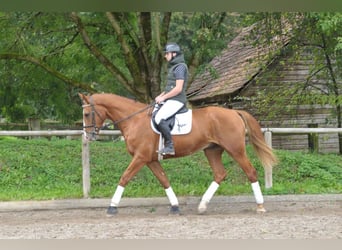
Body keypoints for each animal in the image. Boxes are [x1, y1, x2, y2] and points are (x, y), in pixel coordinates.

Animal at [79, 92, 278, 215]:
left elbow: (124, 177)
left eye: (87, 114)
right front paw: (175, 206)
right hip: (212, 150)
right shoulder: (150, 159)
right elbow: (164, 180)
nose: (88, 136)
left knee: (250, 172)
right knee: (220, 174)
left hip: (235, 149)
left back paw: (260, 206)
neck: (134, 120)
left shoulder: (140, 157)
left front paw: (112, 207)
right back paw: (202, 206)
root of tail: (234, 112)